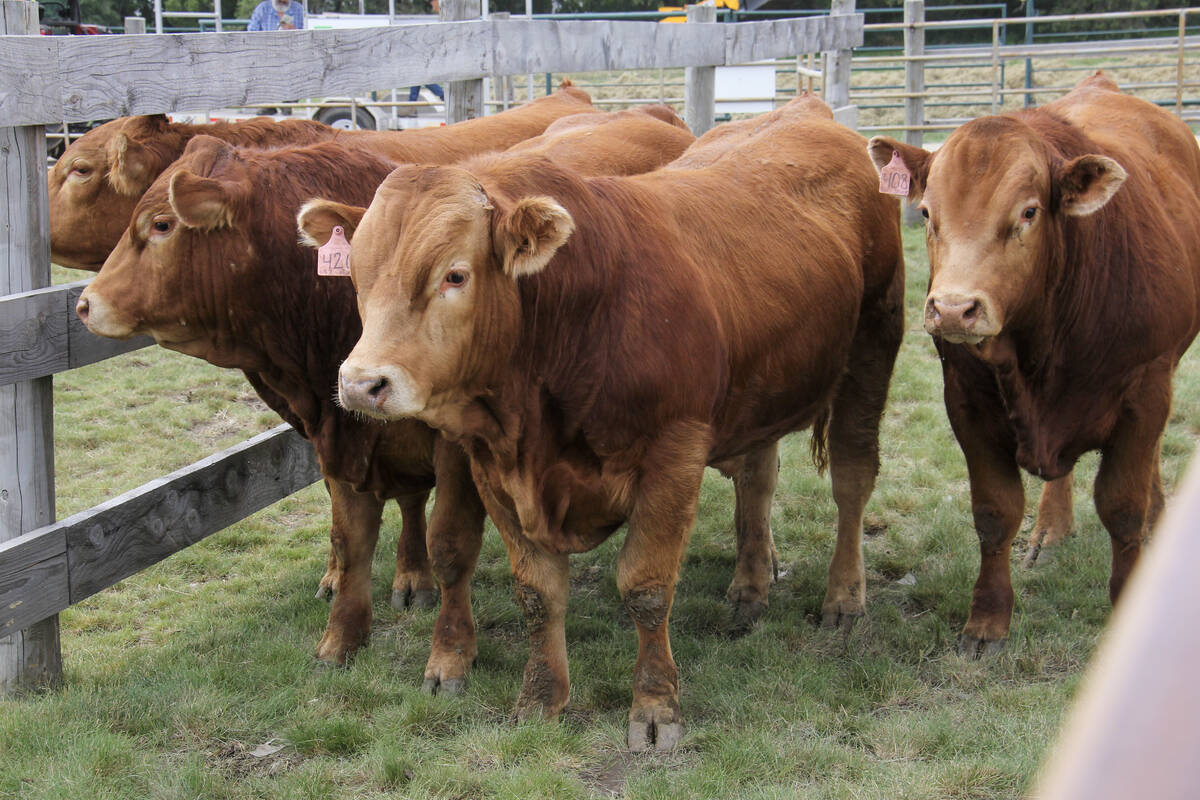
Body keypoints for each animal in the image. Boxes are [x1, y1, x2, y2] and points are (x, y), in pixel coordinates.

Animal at [74, 107, 698, 687]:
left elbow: (451, 545)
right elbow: (351, 537)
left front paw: (449, 653)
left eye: (160, 224)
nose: (85, 303)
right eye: (356, 271)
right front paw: (342, 637)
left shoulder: (457, 447)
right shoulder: (341, 433)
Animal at [330, 95, 905, 751]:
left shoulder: (674, 457)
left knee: (853, 479)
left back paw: (844, 597)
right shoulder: (494, 468)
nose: (361, 383)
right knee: (758, 478)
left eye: (455, 274)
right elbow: (537, 592)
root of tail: (808, 110)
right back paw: (751, 585)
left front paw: (655, 707)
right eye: (357, 275)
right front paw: (541, 699)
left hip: (871, 350)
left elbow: (646, 589)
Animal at [867, 72, 1200, 656]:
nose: (953, 308)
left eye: (1027, 212)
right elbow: (995, 511)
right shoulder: (966, 402)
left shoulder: (1145, 390)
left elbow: (1123, 507)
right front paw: (986, 620)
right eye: (926, 213)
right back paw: (1051, 527)